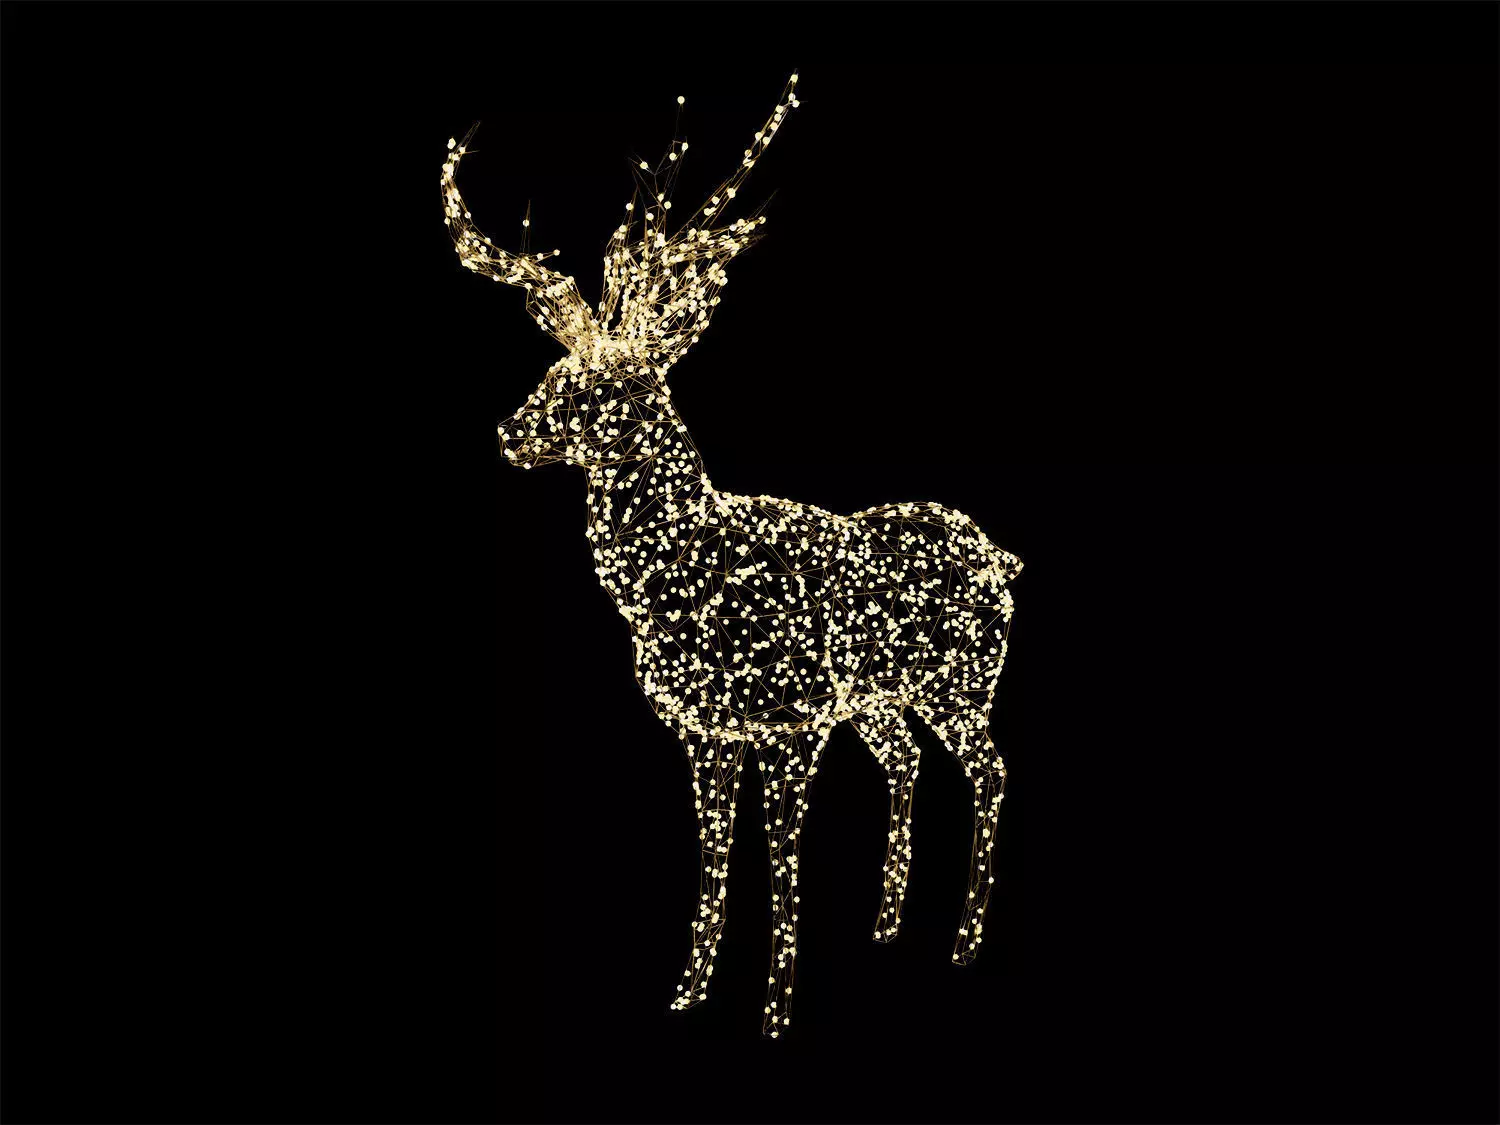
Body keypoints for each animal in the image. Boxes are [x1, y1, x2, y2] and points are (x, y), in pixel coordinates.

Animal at [442, 73, 1022, 1037]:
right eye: (555, 373)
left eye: (604, 384)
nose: (508, 433)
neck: (687, 577)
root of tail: (1004, 561)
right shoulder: (708, 731)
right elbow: (714, 860)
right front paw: (686, 994)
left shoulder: (790, 723)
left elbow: (781, 862)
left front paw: (777, 1013)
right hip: (879, 701)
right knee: (906, 762)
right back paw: (886, 927)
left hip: (958, 686)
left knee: (991, 768)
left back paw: (965, 943)